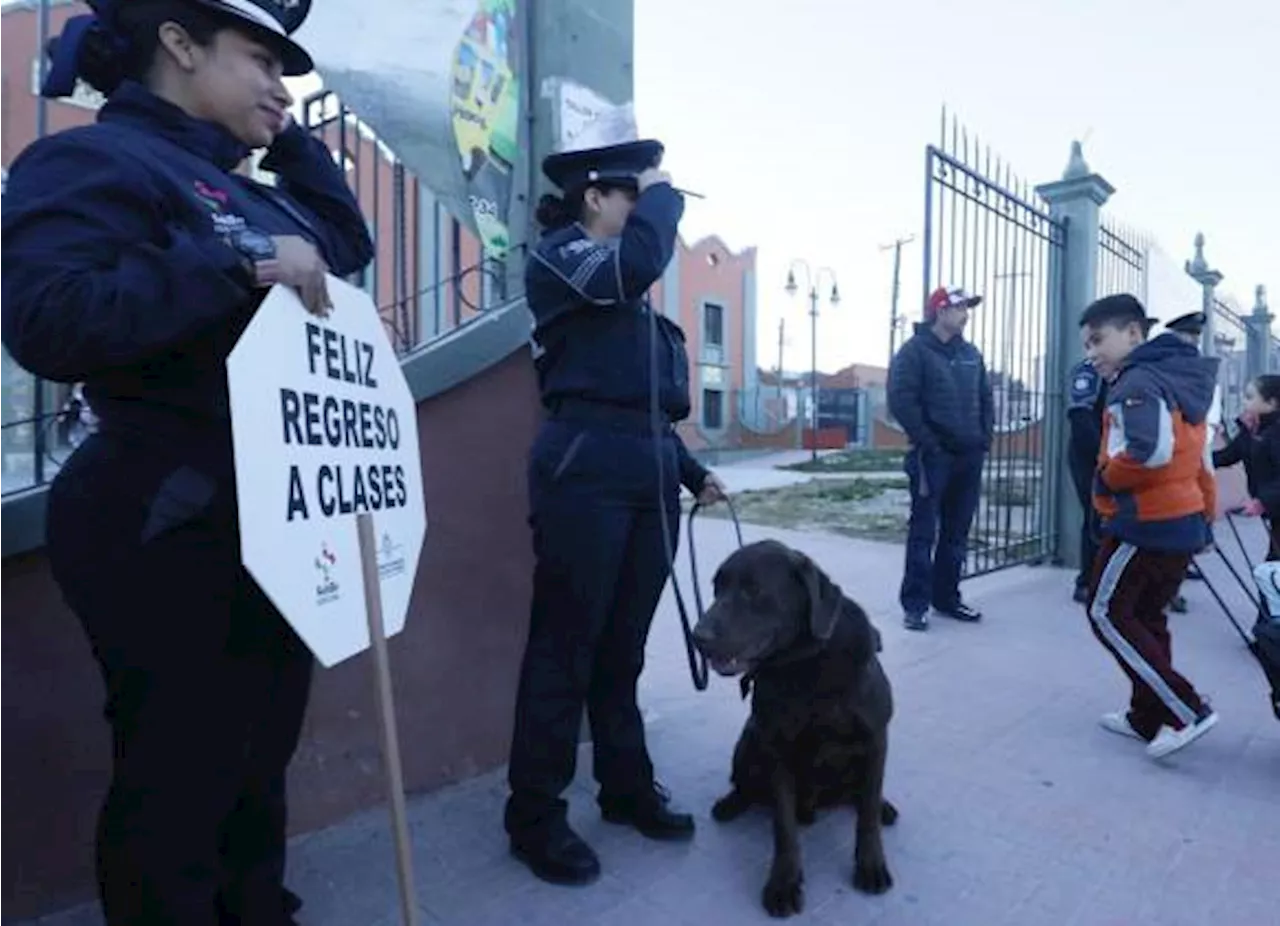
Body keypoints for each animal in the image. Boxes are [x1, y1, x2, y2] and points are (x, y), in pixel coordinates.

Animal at [691, 540, 890, 917]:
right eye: (716, 588)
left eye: (753, 590)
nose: (698, 637)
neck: (805, 665)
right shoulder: (776, 749)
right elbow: (783, 826)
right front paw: (783, 884)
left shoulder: (875, 740)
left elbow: (868, 814)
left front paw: (871, 865)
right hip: (749, 738)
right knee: (747, 785)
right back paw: (731, 803)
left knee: (862, 795)